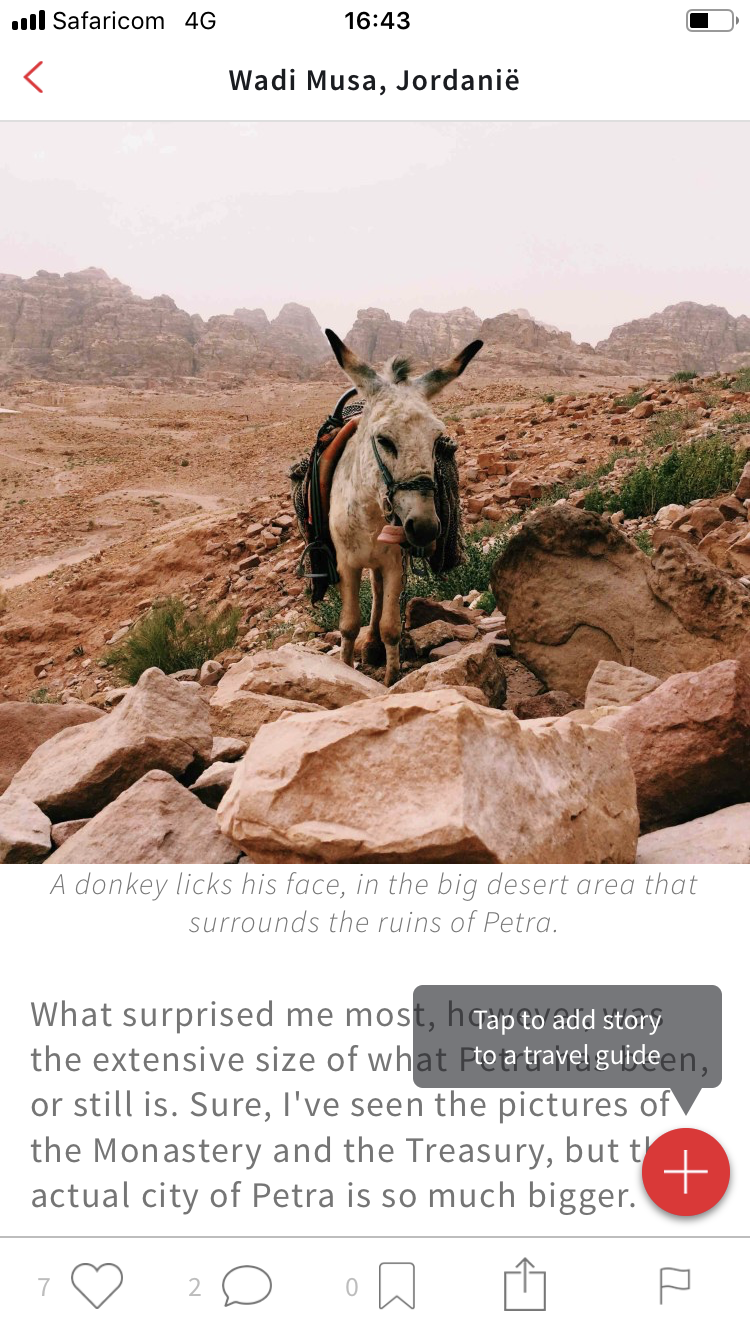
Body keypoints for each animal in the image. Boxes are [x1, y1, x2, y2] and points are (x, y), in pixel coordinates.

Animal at [324, 328, 483, 685]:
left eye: (438, 441)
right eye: (384, 440)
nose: (423, 528)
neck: (370, 515)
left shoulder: (395, 563)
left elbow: (391, 627)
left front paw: (390, 678)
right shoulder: (346, 564)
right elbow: (348, 625)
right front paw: (345, 668)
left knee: (379, 593)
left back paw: (372, 646)